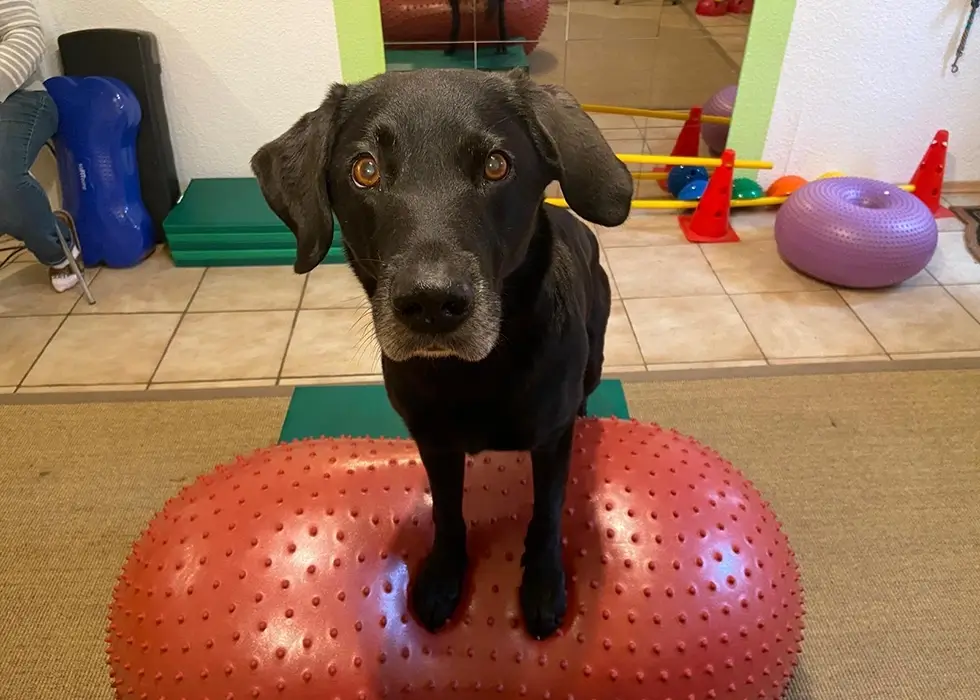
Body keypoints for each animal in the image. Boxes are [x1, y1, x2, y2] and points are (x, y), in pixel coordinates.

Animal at [253, 68, 632, 636]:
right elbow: (448, 512)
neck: (472, 373)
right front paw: (443, 577)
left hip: (595, 354)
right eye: (365, 169)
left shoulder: (550, 440)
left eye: (496, 165)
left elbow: (547, 511)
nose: (431, 303)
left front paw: (544, 584)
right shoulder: (433, 441)